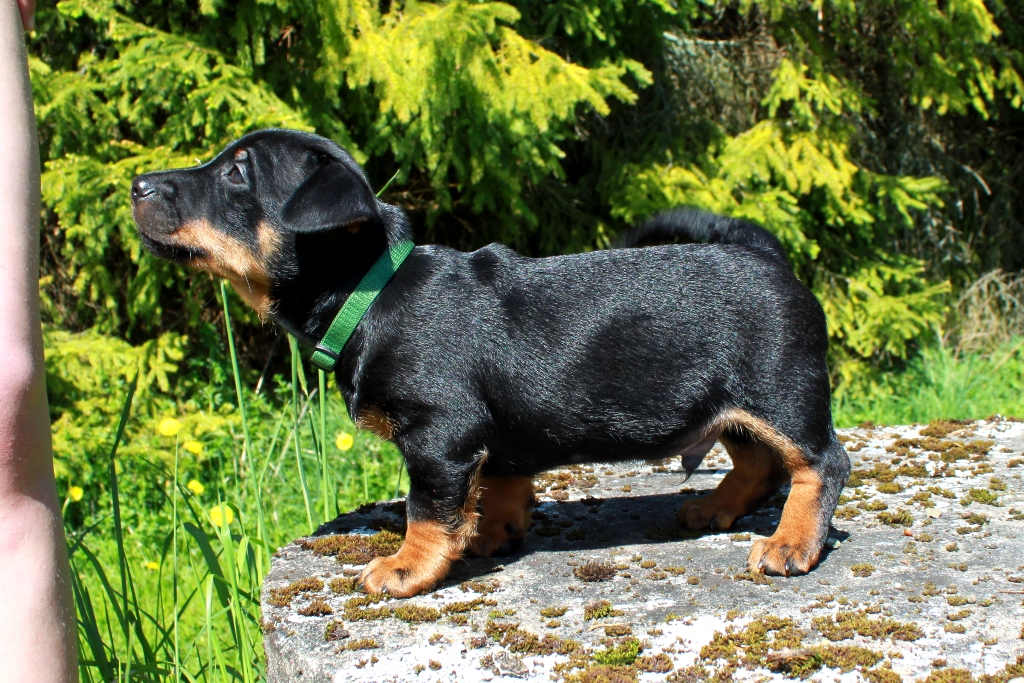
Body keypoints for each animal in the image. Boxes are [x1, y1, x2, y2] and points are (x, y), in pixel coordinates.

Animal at [132, 128, 850, 598]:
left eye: (237, 174)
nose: (137, 183)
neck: (373, 293)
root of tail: (767, 255)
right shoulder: (490, 439)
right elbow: (500, 483)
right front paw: (490, 535)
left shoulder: (439, 434)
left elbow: (426, 508)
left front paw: (407, 567)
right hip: (731, 406)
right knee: (758, 463)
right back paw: (714, 509)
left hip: (781, 392)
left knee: (820, 463)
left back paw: (790, 546)